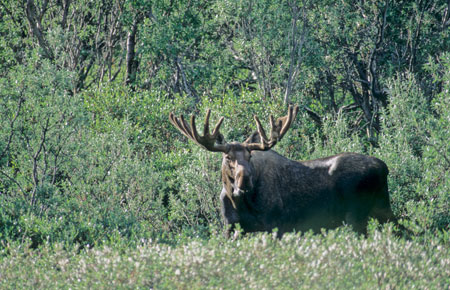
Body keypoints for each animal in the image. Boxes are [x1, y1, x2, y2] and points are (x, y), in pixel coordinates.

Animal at [170, 105, 398, 237]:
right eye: (228, 158)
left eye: (250, 156)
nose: (245, 180)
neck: (239, 201)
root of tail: (383, 166)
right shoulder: (231, 227)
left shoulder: (277, 224)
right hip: (381, 209)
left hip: (356, 215)